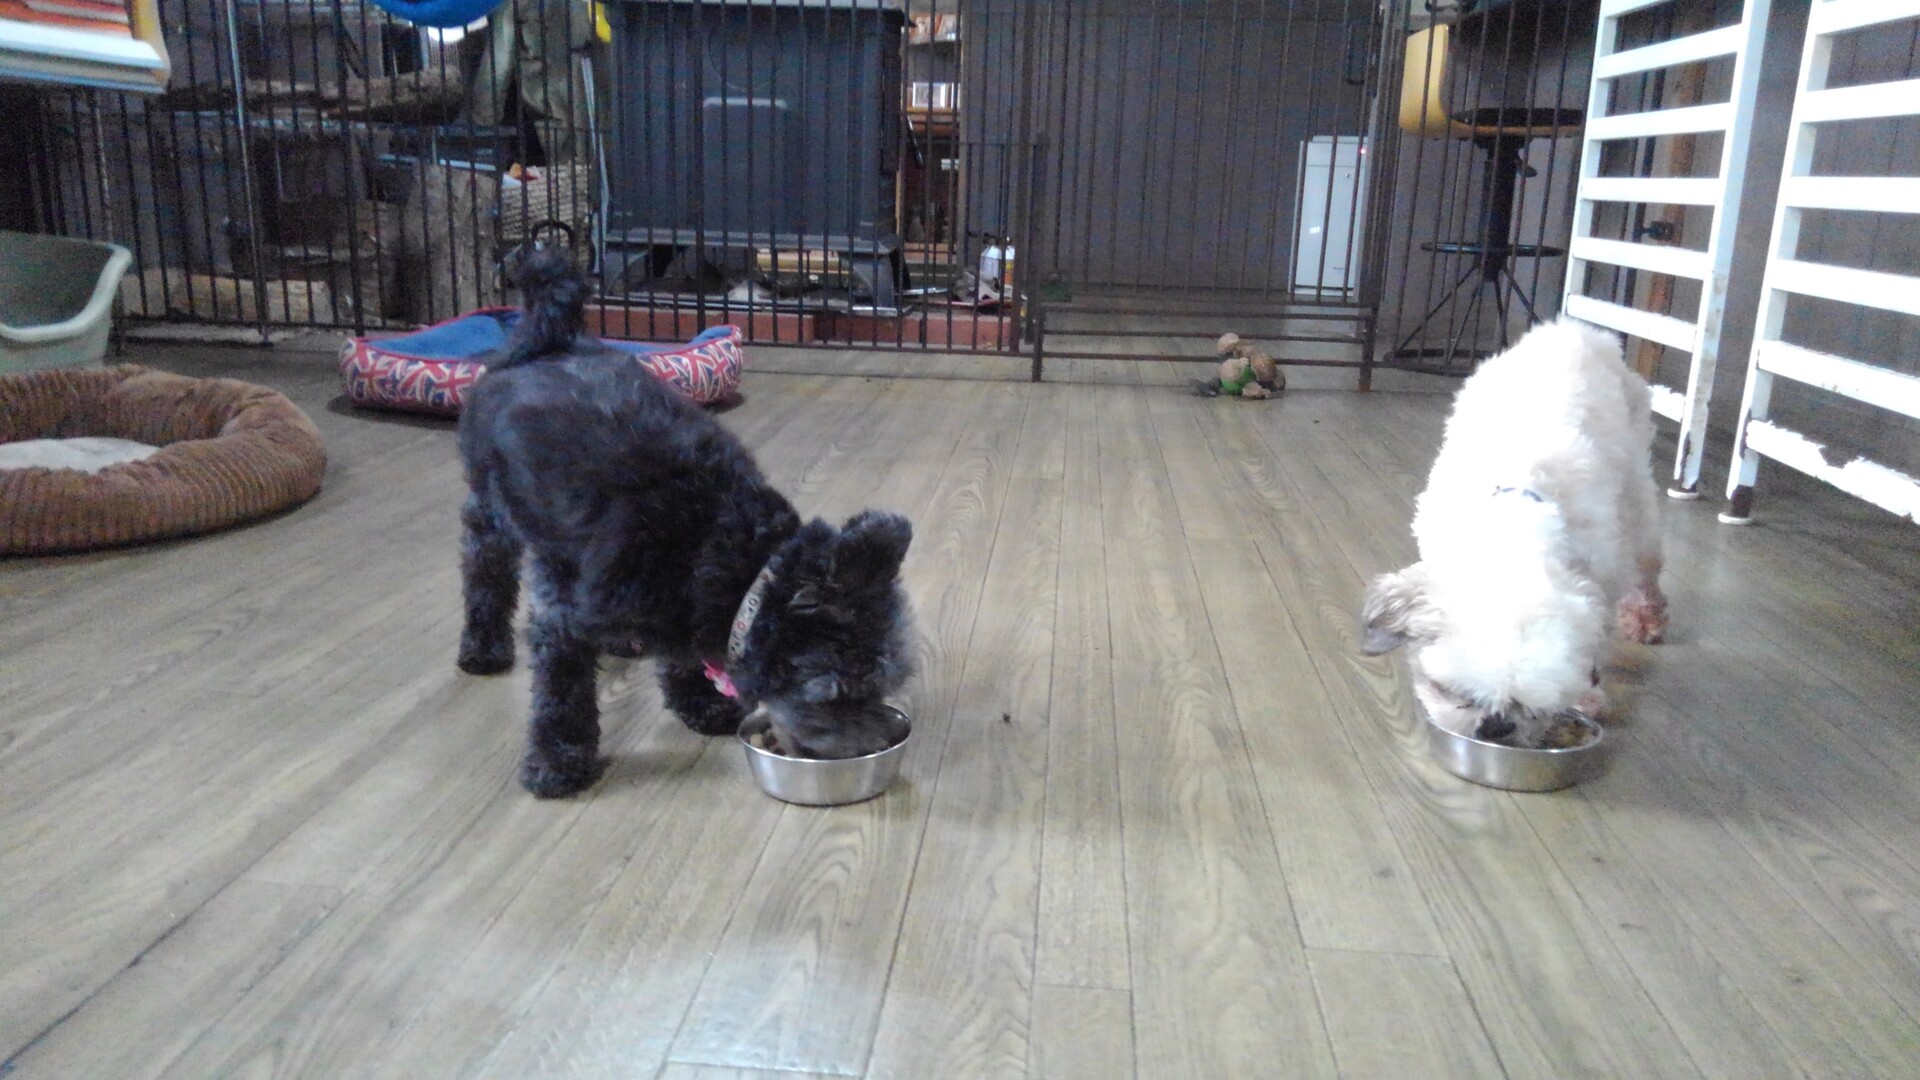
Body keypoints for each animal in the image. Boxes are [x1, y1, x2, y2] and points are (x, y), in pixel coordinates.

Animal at [456, 248, 916, 797]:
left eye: (881, 685)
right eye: (835, 696)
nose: (875, 745)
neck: (728, 551)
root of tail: (546, 341)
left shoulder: (685, 598)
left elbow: (680, 655)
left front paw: (698, 701)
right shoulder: (563, 616)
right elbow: (561, 690)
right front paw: (558, 760)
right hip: (492, 509)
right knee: (484, 573)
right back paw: (483, 647)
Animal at [1359, 316, 1668, 748]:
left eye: (1532, 709)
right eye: (1451, 692)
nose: (1496, 726)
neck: (1510, 536)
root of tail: (1577, 329)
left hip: (1637, 496)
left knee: (1647, 565)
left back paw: (1645, 617)